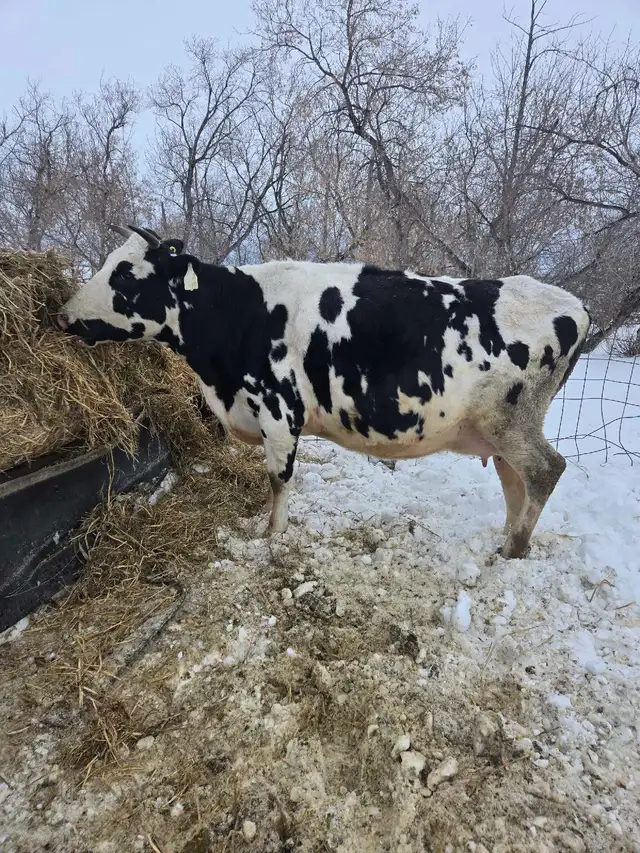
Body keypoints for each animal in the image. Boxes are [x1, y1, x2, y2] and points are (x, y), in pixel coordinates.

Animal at [57, 224, 590, 559]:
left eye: (124, 273)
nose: (63, 315)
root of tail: (573, 304)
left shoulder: (278, 410)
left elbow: (278, 479)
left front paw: (272, 533)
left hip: (510, 420)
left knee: (546, 470)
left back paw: (513, 550)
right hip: (498, 430)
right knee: (514, 479)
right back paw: (506, 539)